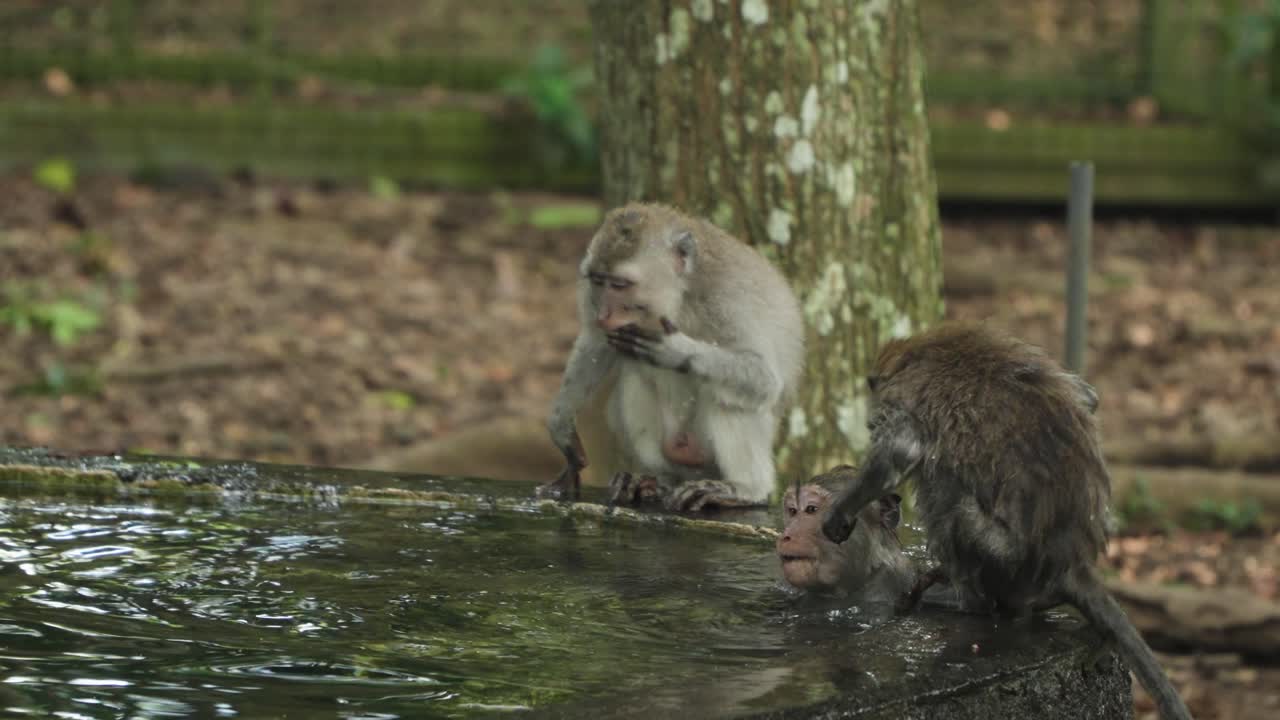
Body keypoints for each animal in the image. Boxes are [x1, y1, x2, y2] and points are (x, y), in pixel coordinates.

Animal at [540, 203, 804, 512]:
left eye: (619, 284)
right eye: (598, 281)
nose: (604, 314)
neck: (678, 297)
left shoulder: (729, 302)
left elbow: (764, 379)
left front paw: (678, 351)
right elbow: (596, 342)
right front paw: (561, 422)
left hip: (705, 450)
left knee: (729, 397)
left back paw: (747, 489)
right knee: (635, 375)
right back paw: (657, 479)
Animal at [817, 324, 1193, 720]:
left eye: (875, 415)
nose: (869, 423)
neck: (923, 351)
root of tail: (1070, 564)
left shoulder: (903, 400)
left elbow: (902, 450)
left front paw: (839, 514)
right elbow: (1088, 397)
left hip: (1004, 559)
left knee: (947, 496)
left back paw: (965, 601)